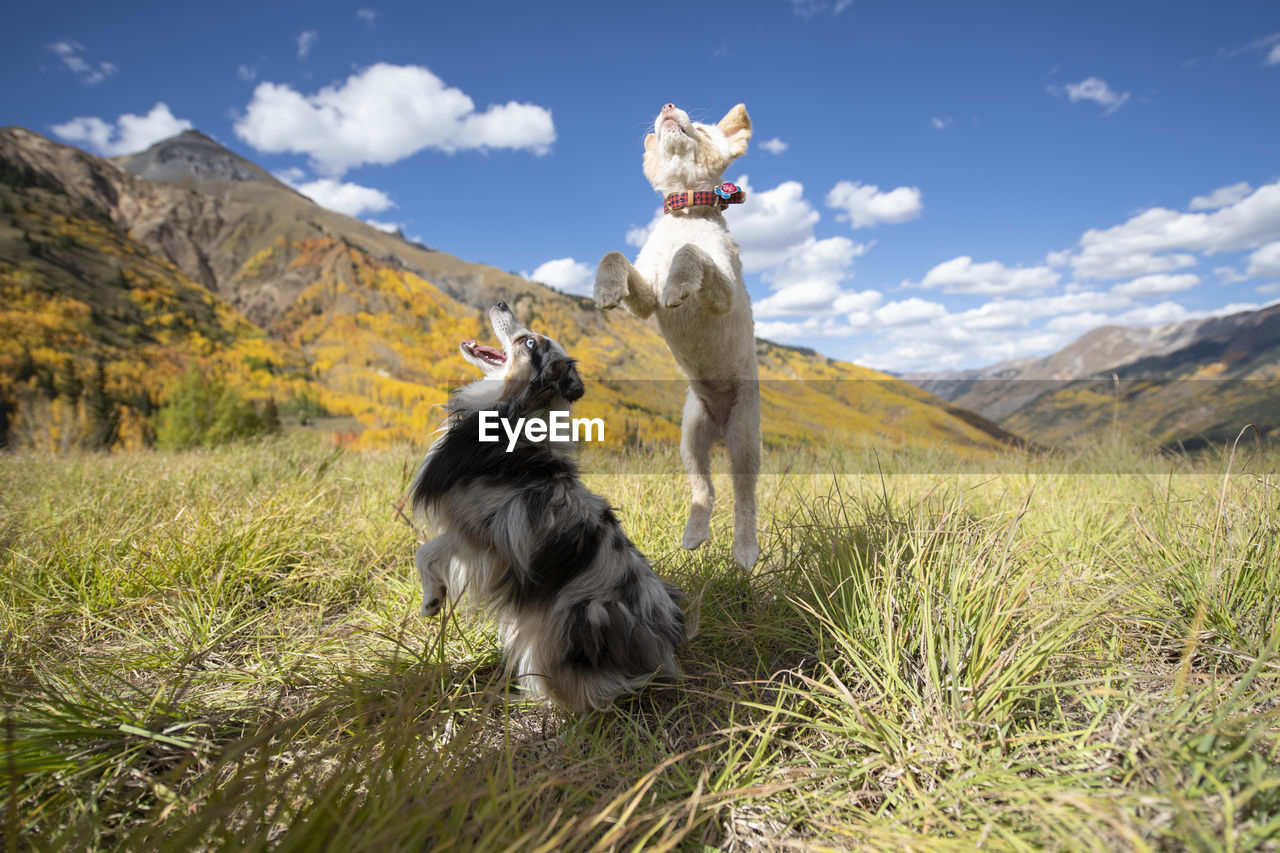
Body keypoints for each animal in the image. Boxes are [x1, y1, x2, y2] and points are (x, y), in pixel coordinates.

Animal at [412, 302, 691, 706]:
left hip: (562, 628)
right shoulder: (472, 530)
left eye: (530, 342)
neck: (514, 410)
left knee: (577, 689)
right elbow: (426, 551)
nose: (501, 303)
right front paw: (432, 600)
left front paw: (433, 597)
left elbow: (426, 551)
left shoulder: (486, 542)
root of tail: (663, 644)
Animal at [591, 103, 757, 568]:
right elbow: (614, 256)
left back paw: (745, 550)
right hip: (691, 439)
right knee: (705, 489)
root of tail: (720, 423)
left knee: (744, 496)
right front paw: (605, 289)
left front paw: (678, 286)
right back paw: (694, 535)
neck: (684, 214)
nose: (667, 105)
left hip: (744, 437)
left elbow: (691, 254)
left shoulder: (725, 294)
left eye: (698, 126)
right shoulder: (643, 297)